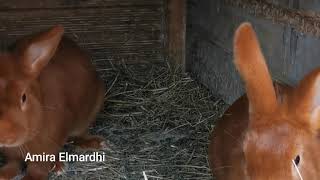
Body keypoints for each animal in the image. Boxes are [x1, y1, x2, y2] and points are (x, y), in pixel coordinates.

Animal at [0, 25, 106, 180]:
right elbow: (13, 164)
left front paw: (32, 178)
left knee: (79, 135)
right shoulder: (11, 155)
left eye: (24, 97)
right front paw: (3, 174)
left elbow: (38, 167)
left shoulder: (47, 147)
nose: (5, 137)